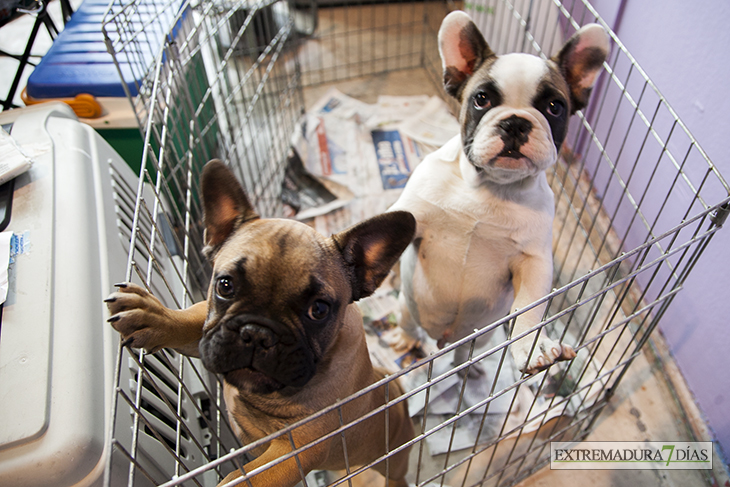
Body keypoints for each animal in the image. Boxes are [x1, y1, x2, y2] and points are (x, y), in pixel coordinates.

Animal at [386, 11, 608, 376]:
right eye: (482, 99)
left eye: (554, 107)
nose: (515, 122)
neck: (491, 188)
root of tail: (443, 341)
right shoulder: (412, 217)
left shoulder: (533, 262)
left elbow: (530, 308)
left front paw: (533, 347)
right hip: (407, 307)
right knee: (409, 325)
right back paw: (406, 342)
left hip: (480, 338)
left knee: (464, 355)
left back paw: (469, 370)